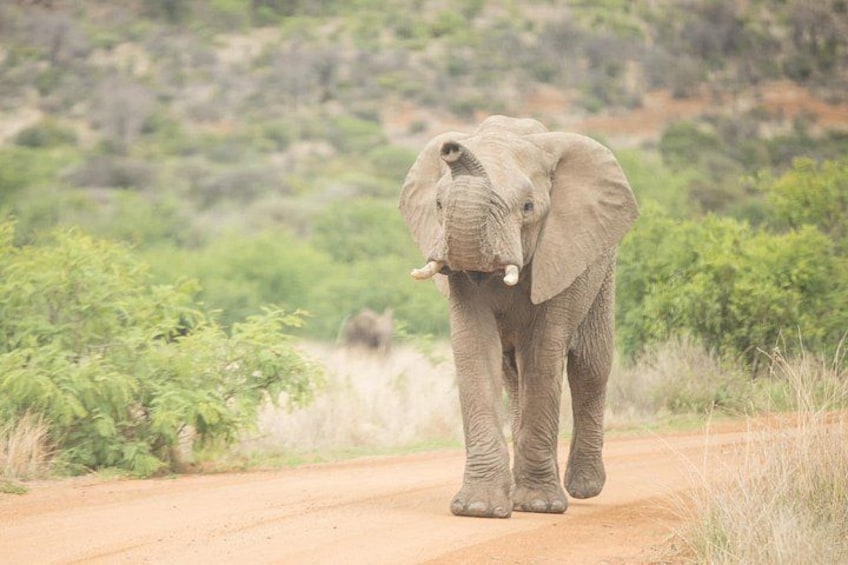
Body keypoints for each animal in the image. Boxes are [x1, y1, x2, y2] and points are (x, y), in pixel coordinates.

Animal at [398, 115, 638, 518]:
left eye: (527, 207)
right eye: (438, 204)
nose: (452, 148)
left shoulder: (559, 252)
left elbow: (543, 353)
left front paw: (541, 505)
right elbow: (475, 348)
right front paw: (479, 508)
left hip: (601, 269)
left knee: (590, 366)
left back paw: (583, 488)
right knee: (514, 374)